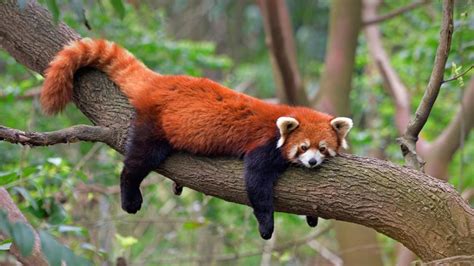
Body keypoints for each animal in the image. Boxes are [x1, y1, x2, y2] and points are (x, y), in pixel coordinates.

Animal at [40, 38, 352, 240]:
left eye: (322, 148)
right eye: (303, 147)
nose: (312, 163)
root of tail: (161, 81)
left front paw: (312, 216)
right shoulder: (263, 147)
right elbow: (256, 183)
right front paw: (266, 228)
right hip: (155, 126)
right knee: (138, 160)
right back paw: (130, 196)